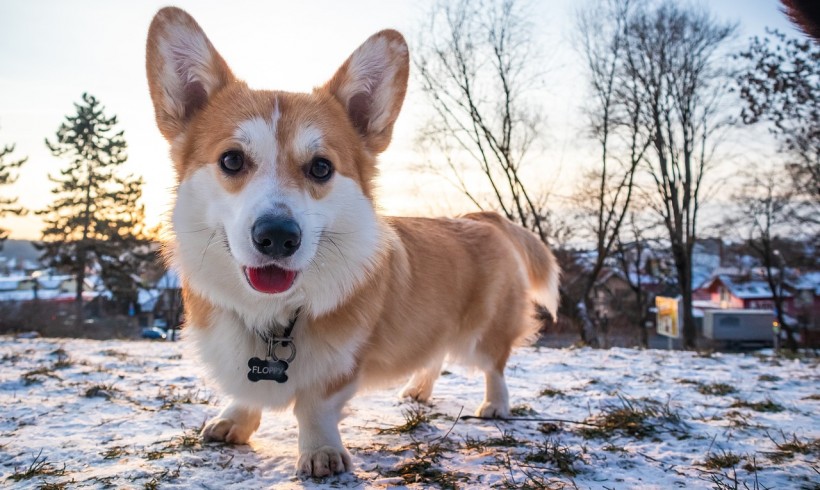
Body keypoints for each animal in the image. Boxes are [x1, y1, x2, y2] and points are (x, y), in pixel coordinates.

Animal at [146, 5, 556, 476]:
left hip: (485, 331)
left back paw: (495, 405)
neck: (273, 313)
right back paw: (418, 389)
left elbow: (315, 408)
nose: (277, 237)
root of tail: (480, 217)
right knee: (434, 355)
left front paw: (321, 453)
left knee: (496, 365)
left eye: (321, 167)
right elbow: (246, 393)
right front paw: (235, 419)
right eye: (231, 160)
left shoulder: (339, 365)